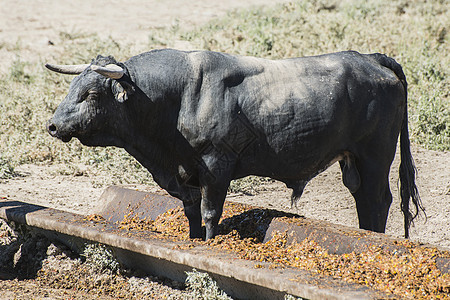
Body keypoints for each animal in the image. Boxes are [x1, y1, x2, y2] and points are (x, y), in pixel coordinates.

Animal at [44, 50, 424, 240]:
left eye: (92, 93)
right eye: (72, 87)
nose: (53, 125)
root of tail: (368, 57)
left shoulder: (216, 166)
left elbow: (211, 214)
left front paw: (210, 244)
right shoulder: (186, 175)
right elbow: (192, 213)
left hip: (375, 157)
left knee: (378, 200)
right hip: (353, 162)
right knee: (364, 201)